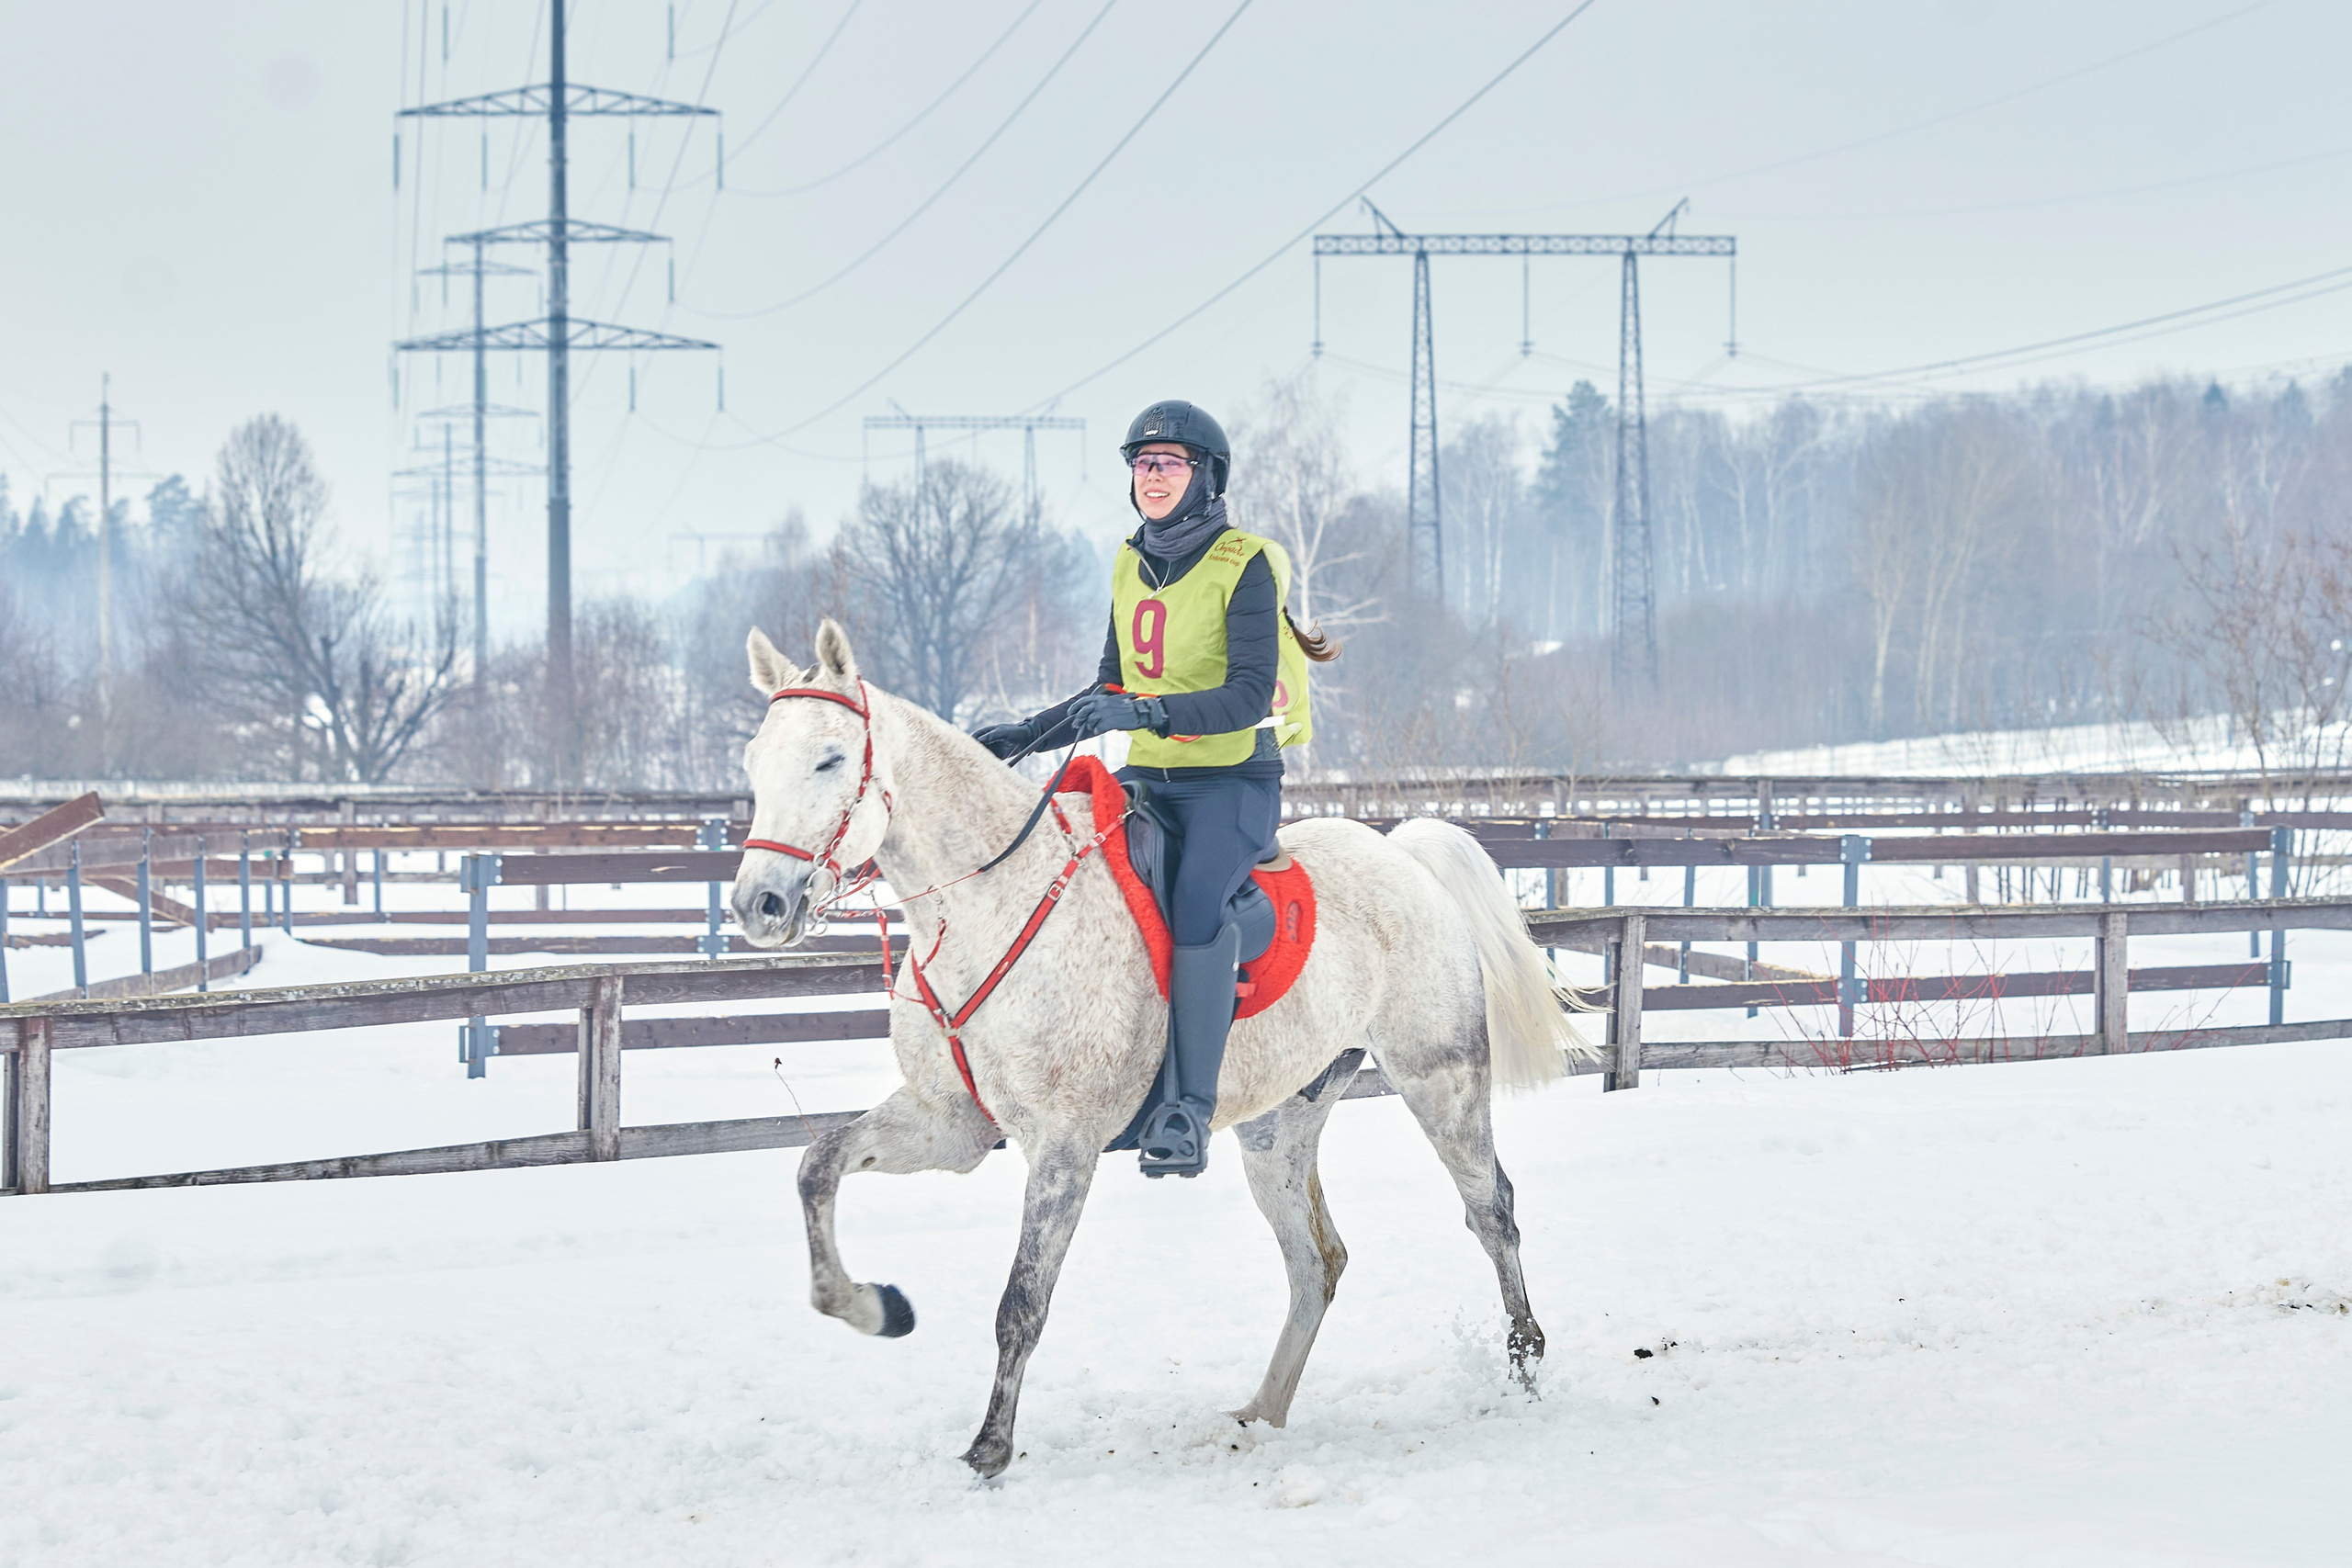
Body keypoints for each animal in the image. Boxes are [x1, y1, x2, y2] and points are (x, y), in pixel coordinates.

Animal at [730, 619, 1593, 1479]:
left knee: (1491, 1213)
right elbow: (818, 1166)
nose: (758, 904)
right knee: (1317, 1262)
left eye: (830, 758)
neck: (990, 903)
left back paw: (1524, 1360)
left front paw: (990, 1447)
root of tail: (1403, 855)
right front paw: (875, 1307)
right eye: (754, 760)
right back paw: (1261, 1411)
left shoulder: (1064, 1147)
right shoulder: (949, 1123)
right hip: (1277, 1127)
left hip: (1440, 1080)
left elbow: (1021, 1303)